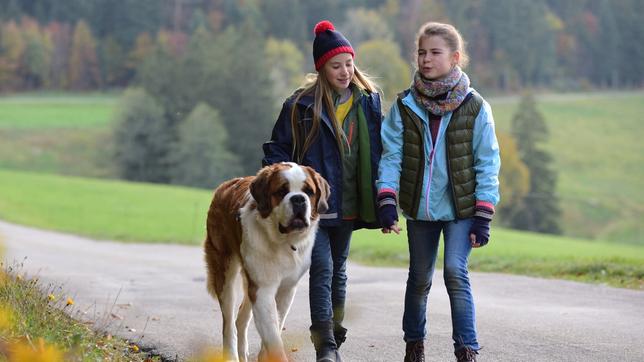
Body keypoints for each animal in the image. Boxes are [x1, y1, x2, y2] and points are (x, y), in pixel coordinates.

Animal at [204, 162, 330, 362]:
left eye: (309, 191)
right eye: (282, 191)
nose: (298, 199)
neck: (283, 242)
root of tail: (225, 185)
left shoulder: (287, 289)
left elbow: (276, 324)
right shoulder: (262, 289)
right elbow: (272, 334)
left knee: (240, 319)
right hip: (225, 273)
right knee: (229, 323)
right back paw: (231, 355)